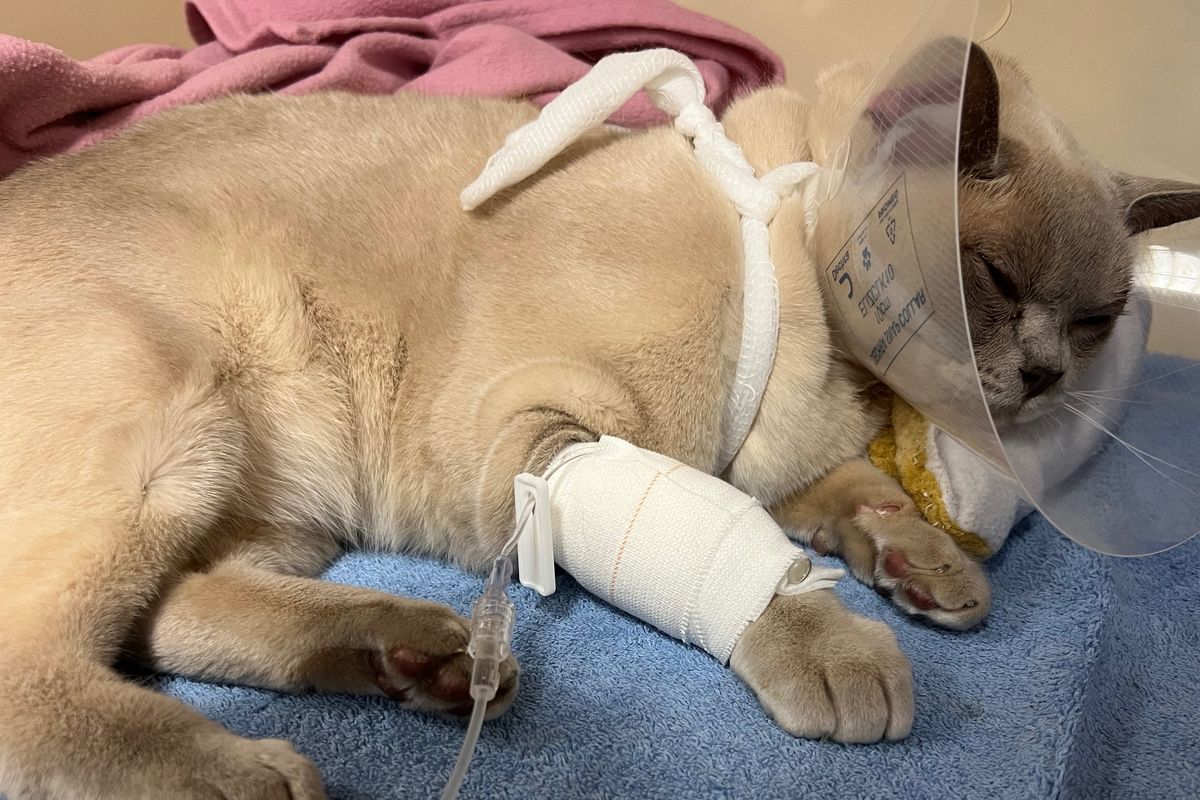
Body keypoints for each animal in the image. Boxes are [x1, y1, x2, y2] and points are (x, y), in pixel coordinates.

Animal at [1, 41, 1198, 798]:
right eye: (992, 278)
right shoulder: (554, 436)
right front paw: (835, 644)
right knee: (44, 666)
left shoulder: (784, 460)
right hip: (177, 420)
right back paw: (252, 770)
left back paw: (424, 656)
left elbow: (859, 500)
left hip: (276, 502)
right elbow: (755, 551)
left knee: (170, 612)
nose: (1042, 376)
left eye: (1096, 321)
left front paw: (930, 573)